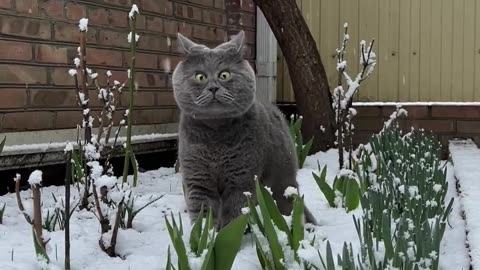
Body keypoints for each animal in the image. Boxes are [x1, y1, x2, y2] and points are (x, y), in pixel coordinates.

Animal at [172, 30, 316, 228]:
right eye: (200, 76)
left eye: (224, 75)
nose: (213, 87)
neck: (215, 135)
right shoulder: (197, 179)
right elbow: (202, 212)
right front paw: (206, 233)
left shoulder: (241, 178)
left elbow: (235, 212)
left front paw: (228, 231)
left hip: (281, 183)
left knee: (287, 204)